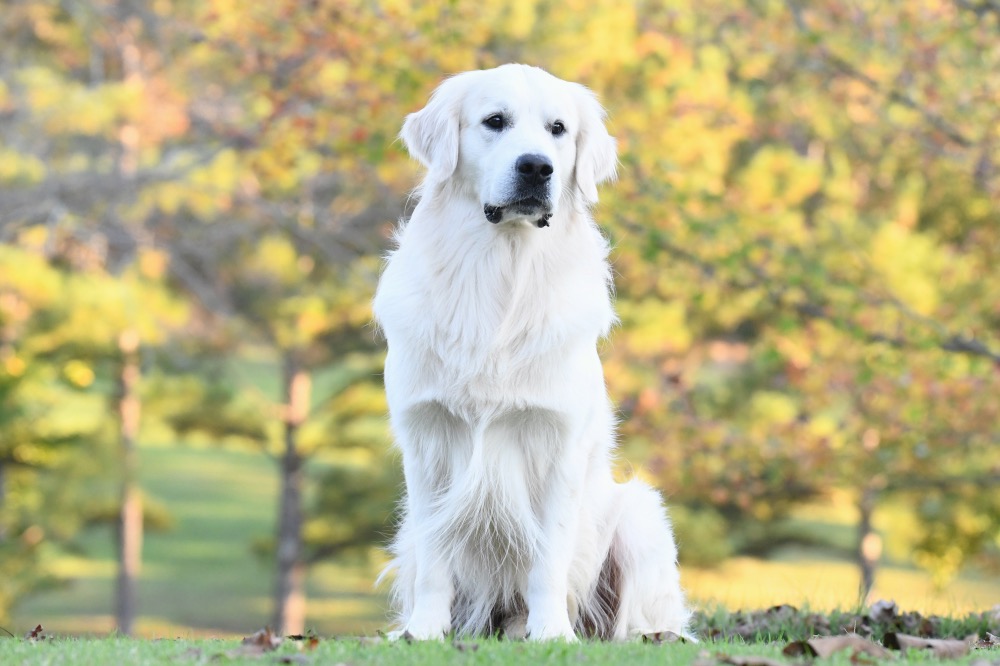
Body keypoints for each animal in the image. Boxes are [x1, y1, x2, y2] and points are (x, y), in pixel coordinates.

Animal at [372, 66, 692, 640]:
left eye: (558, 129)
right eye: (494, 121)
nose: (537, 166)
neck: (502, 272)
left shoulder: (555, 442)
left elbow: (547, 558)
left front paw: (552, 634)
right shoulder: (427, 441)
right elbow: (435, 557)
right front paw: (424, 630)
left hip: (639, 513)